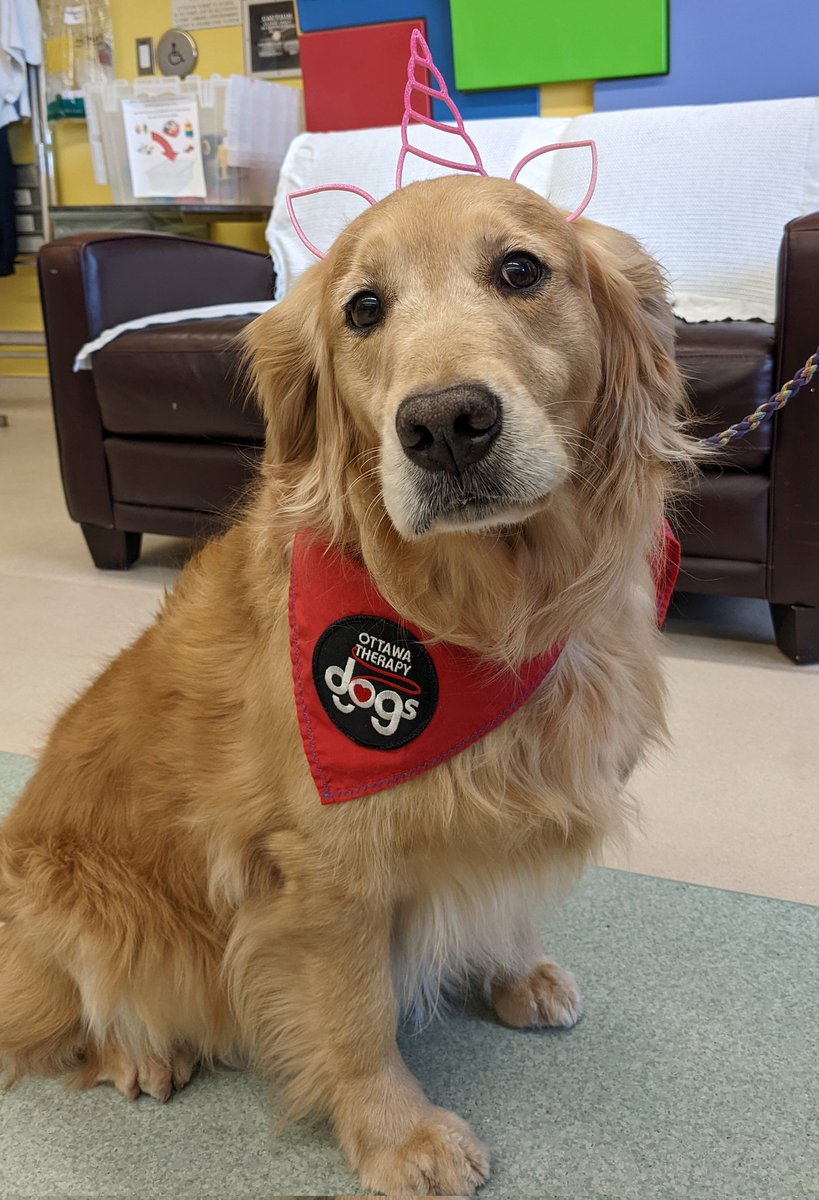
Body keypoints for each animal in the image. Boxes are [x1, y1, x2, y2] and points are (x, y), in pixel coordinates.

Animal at [0, 174, 696, 1195]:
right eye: (363, 309)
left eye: (520, 270)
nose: (444, 425)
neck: (485, 614)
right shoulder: (325, 867)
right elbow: (357, 1014)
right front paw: (397, 1135)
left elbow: (504, 899)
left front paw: (514, 971)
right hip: (85, 904)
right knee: (77, 1003)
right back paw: (143, 1052)